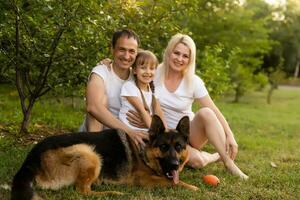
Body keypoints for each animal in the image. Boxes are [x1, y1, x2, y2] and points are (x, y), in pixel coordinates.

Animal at [10, 115, 198, 199]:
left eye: (179, 147)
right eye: (163, 147)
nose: (174, 165)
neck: (145, 153)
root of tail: (31, 158)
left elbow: (173, 180)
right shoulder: (144, 180)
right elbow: (173, 182)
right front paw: (193, 187)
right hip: (89, 152)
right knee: (82, 191)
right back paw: (113, 192)